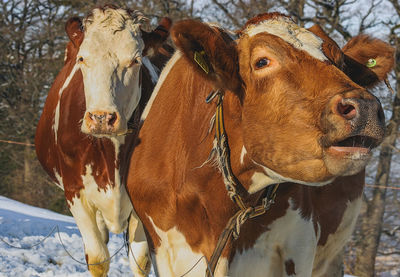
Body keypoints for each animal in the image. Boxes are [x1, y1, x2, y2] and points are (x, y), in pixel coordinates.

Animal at [35, 4, 171, 276]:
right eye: (82, 59)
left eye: (135, 60)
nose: (101, 118)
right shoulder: (75, 192)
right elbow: (98, 258)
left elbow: (140, 261)